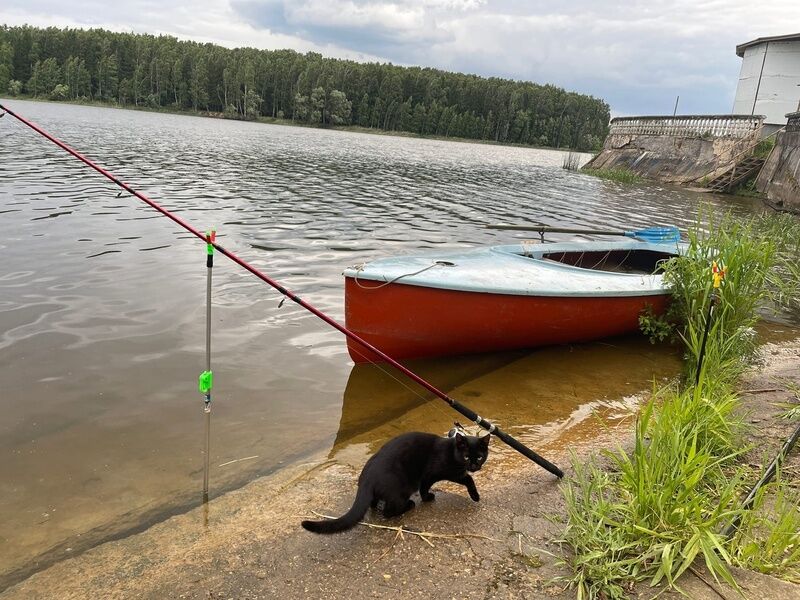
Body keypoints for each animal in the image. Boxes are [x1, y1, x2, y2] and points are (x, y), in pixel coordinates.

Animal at [300, 432, 488, 536]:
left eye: (479, 457)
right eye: (466, 456)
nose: (474, 466)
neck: (451, 450)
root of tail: (366, 478)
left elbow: (465, 478)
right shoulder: (434, 473)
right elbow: (432, 485)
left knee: (374, 504)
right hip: (401, 490)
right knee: (388, 512)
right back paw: (409, 505)